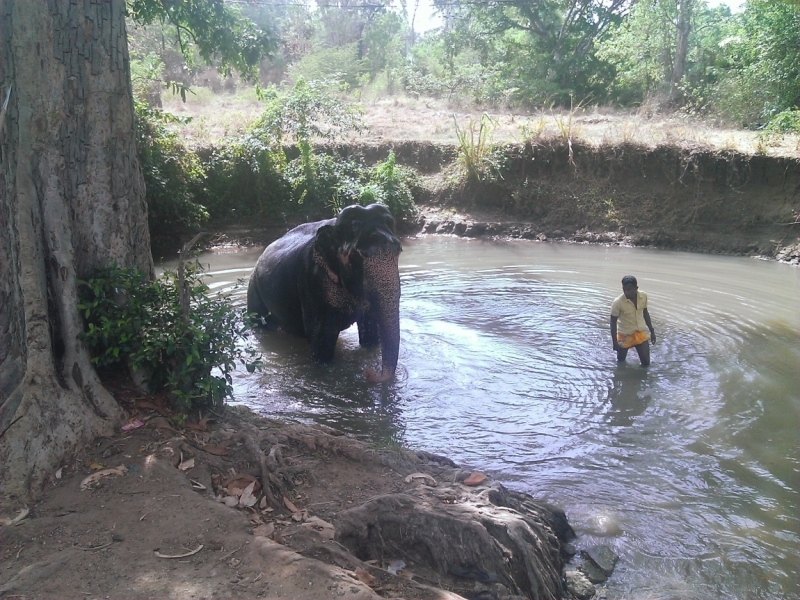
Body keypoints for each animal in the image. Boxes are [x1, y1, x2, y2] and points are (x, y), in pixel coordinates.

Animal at [247, 204, 404, 382]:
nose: (369, 372)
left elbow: (369, 331)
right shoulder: (313, 280)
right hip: (254, 291)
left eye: (399, 251)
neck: (335, 227)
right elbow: (322, 337)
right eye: (357, 257)